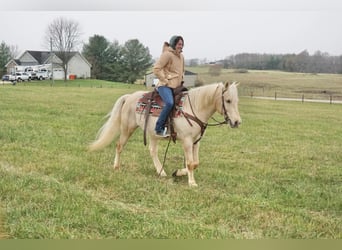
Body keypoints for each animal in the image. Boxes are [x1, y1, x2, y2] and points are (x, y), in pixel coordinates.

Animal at [89, 81, 242, 187]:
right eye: (228, 100)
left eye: (236, 101)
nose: (237, 122)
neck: (193, 108)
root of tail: (130, 96)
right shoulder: (186, 141)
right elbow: (190, 163)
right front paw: (192, 183)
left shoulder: (196, 141)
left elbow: (195, 163)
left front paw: (178, 173)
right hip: (127, 128)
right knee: (119, 146)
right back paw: (116, 167)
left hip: (152, 134)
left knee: (152, 151)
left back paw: (161, 172)